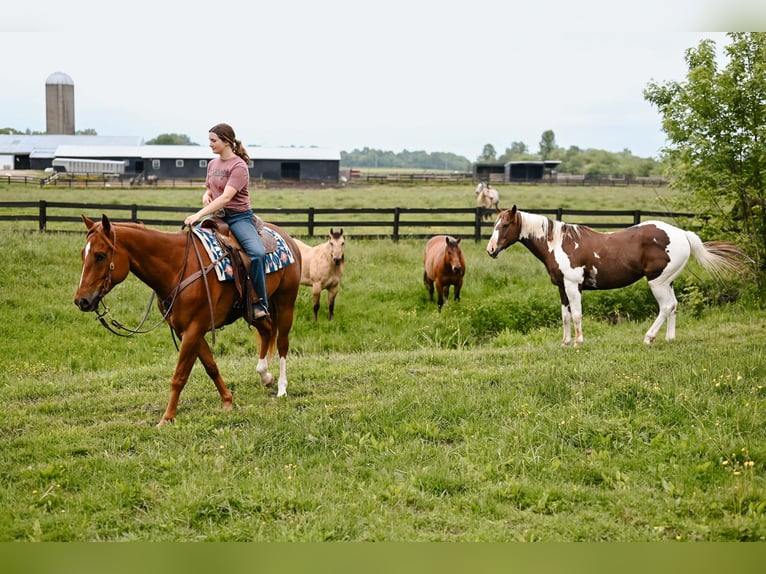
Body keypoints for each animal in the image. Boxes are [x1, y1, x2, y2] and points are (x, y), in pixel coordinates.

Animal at [74, 216, 304, 428]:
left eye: (100, 255)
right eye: (83, 254)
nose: (81, 301)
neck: (177, 267)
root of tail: (288, 239)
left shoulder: (193, 329)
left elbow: (179, 376)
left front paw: (167, 417)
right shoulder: (187, 331)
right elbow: (211, 366)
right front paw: (227, 401)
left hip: (285, 303)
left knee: (282, 343)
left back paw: (282, 388)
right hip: (251, 311)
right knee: (266, 331)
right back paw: (265, 375)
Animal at [486, 207, 752, 346]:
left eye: (505, 225)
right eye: (495, 225)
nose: (490, 250)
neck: (559, 242)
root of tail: (682, 234)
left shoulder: (573, 286)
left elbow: (577, 315)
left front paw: (578, 342)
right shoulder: (561, 288)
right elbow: (565, 317)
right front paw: (565, 342)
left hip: (657, 282)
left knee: (666, 307)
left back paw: (649, 337)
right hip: (668, 282)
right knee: (674, 306)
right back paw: (669, 338)